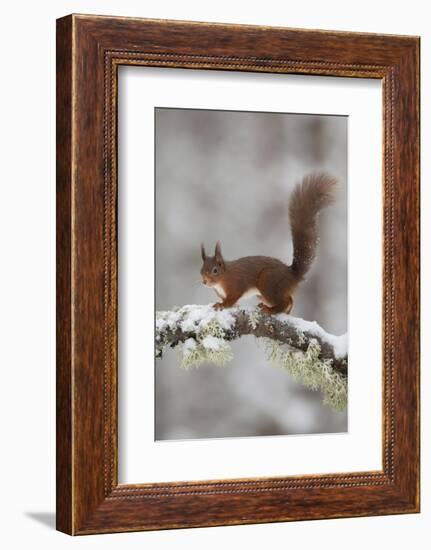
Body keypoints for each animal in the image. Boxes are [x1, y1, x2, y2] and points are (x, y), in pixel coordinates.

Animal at [199, 175, 338, 316]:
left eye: (215, 270)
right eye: (201, 270)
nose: (204, 281)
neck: (223, 277)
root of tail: (292, 275)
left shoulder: (236, 285)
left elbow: (232, 299)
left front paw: (222, 305)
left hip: (268, 281)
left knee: (285, 301)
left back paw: (270, 309)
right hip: (264, 292)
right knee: (289, 299)